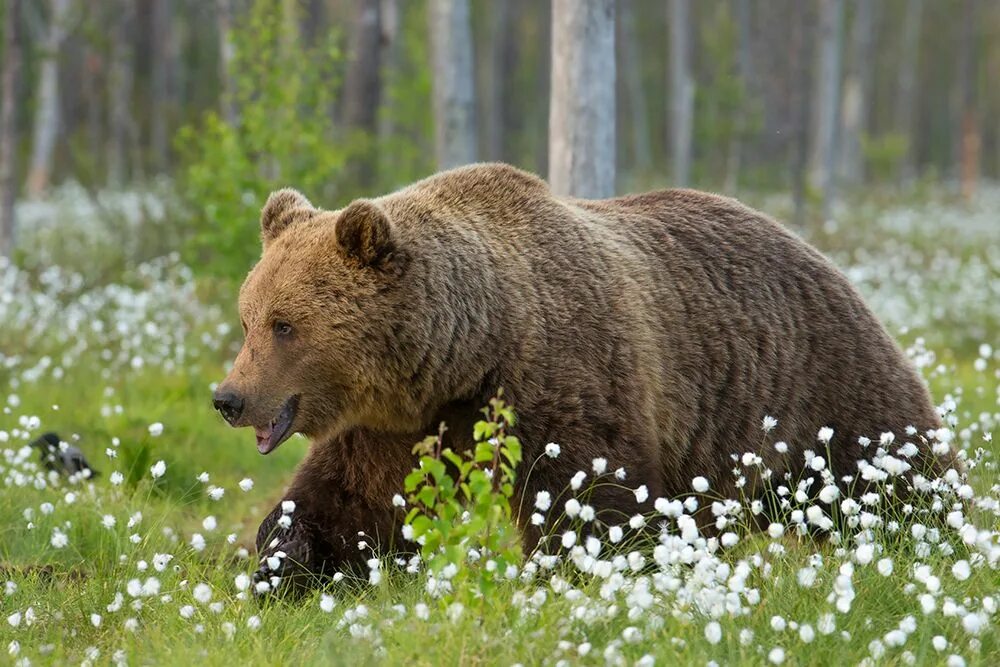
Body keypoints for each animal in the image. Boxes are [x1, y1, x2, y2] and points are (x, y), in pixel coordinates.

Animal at [215, 163, 948, 588]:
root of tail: (820, 254)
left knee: (894, 471)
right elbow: (347, 497)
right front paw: (286, 561)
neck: (469, 351)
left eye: (285, 324)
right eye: (248, 317)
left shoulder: (562, 376)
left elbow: (592, 494)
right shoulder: (397, 425)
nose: (229, 397)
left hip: (817, 386)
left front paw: (579, 573)